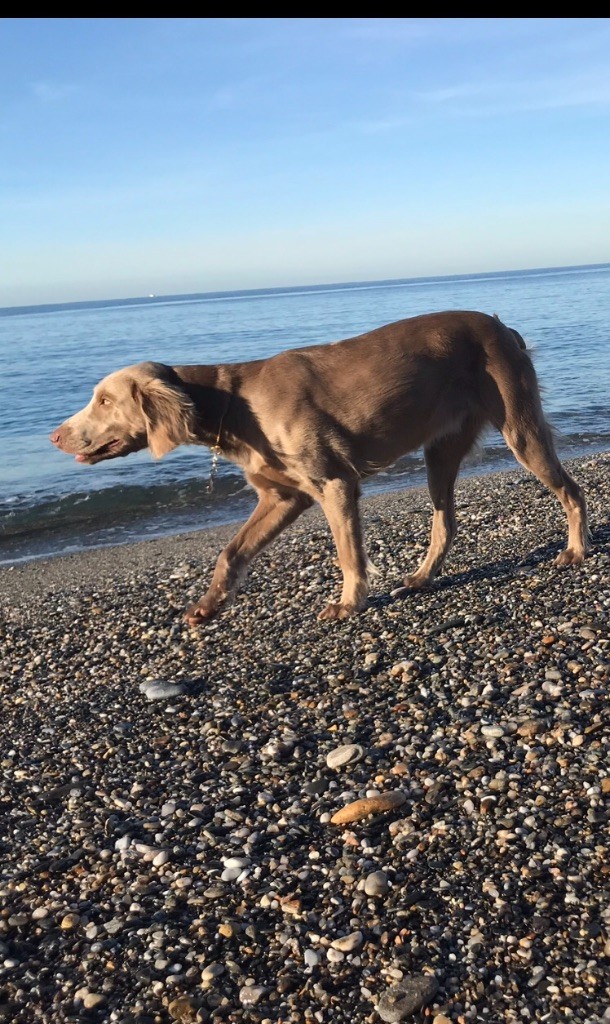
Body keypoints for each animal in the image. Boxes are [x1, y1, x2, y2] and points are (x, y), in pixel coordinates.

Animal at [50, 310, 589, 624]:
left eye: (103, 400)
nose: (55, 436)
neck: (234, 404)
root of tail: (502, 327)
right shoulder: (282, 496)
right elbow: (231, 552)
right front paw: (208, 605)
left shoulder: (335, 483)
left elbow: (348, 554)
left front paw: (349, 603)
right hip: (440, 451)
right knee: (445, 524)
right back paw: (420, 578)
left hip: (520, 428)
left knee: (572, 491)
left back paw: (576, 551)